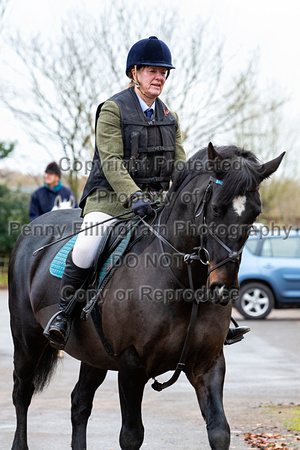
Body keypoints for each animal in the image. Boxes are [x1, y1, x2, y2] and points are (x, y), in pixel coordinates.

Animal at [8, 143, 284, 446]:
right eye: (216, 209)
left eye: (255, 213)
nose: (223, 288)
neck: (184, 283)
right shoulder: (131, 366)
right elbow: (131, 435)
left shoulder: (208, 364)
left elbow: (219, 431)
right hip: (28, 340)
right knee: (22, 393)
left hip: (94, 355)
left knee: (79, 402)